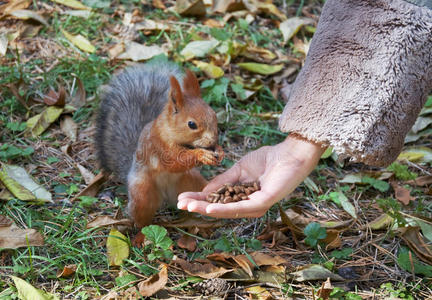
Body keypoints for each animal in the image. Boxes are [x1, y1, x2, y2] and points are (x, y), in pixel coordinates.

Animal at [93, 61, 223, 241]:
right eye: (191, 124)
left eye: (214, 115)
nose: (212, 141)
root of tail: (166, 195)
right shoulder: (158, 146)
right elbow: (175, 160)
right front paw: (201, 155)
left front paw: (220, 151)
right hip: (143, 194)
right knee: (143, 221)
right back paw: (141, 236)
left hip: (191, 183)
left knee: (189, 208)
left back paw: (199, 224)